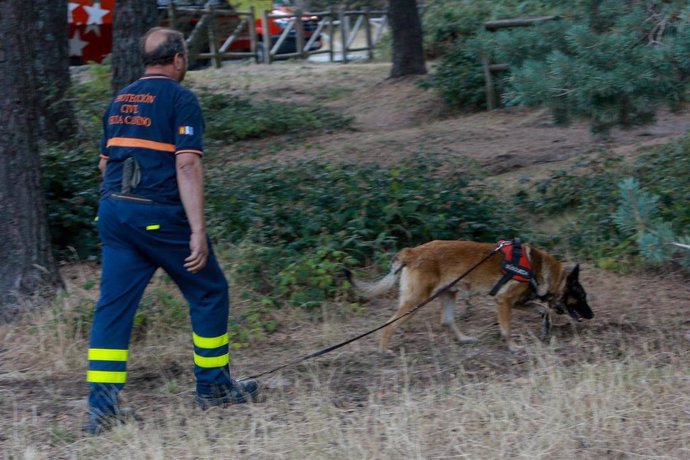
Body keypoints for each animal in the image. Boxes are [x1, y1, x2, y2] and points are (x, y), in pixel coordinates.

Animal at [344, 241, 592, 352]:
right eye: (581, 296)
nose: (591, 315)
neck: (537, 268)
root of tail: (411, 252)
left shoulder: (516, 302)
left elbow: (544, 309)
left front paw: (545, 328)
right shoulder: (504, 302)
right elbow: (507, 329)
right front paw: (513, 347)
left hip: (448, 294)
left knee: (446, 321)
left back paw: (464, 340)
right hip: (416, 301)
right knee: (389, 325)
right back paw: (383, 349)